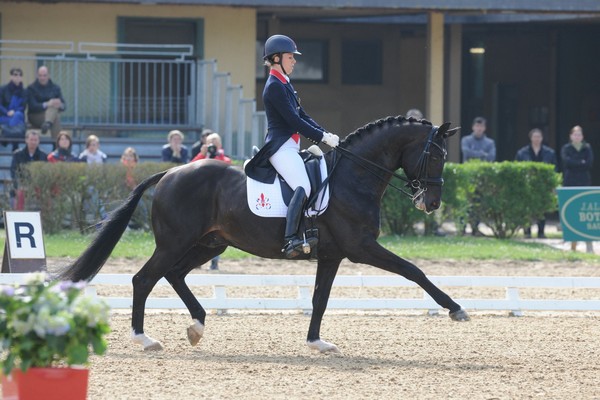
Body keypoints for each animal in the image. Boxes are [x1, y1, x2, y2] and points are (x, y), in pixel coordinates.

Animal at [57, 115, 468, 354]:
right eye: (436, 156)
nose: (431, 203)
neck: (353, 176)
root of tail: (170, 172)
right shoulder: (362, 247)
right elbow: (414, 271)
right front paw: (455, 309)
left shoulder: (332, 255)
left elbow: (320, 299)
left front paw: (317, 342)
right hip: (176, 242)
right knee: (144, 279)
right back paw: (144, 338)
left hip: (209, 244)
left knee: (173, 275)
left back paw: (197, 325)